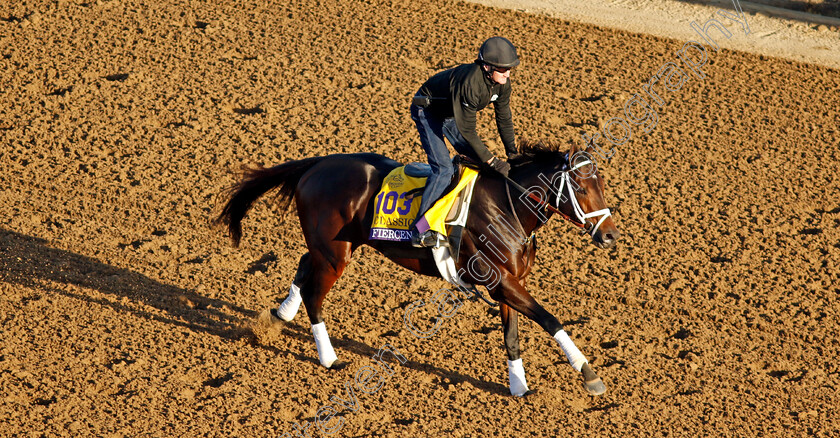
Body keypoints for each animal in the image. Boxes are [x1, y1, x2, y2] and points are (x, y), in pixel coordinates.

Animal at [215, 140, 624, 396]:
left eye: (602, 183)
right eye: (581, 188)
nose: (609, 236)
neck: (506, 206)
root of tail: (317, 164)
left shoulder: (507, 283)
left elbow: (511, 337)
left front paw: (518, 387)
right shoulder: (498, 280)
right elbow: (549, 319)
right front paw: (589, 374)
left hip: (331, 246)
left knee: (303, 267)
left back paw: (277, 317)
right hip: (335, 253)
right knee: (315, 294)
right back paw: (329, 359)